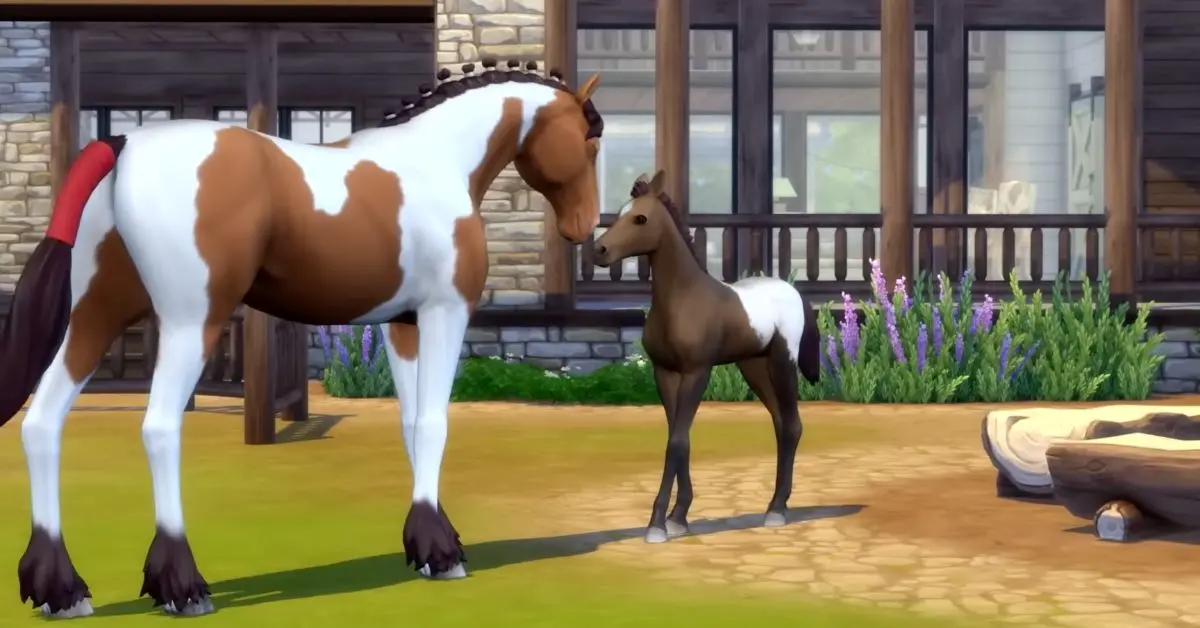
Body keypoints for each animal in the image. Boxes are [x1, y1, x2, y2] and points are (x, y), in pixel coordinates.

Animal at [0, 58, 605, 617]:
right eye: (589, 137)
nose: (585, 231)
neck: (439, 158)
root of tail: (124, 143)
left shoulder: (404, 324)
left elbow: (411, 427)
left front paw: (426, 544)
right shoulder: (444, 313)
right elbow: (434, 425)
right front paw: (444, 556)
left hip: (95, 315)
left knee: (43, 424)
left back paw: (61, 591)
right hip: (190, 320)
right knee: (159, 430)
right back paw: (183, 587)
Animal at [591, 171, 820, 544]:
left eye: (640, 218)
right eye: (619, 213)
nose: (599, 250)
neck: (683, 298)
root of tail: (794, 292)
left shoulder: (697, 372)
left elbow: (677, 441)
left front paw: (657, 525)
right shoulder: (665, 373)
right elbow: (678, 437)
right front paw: (677, 518)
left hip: (782, 362)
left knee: (792, 425)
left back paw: (777, 511)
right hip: (754, 367)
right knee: (780, 423)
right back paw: (775, 505)